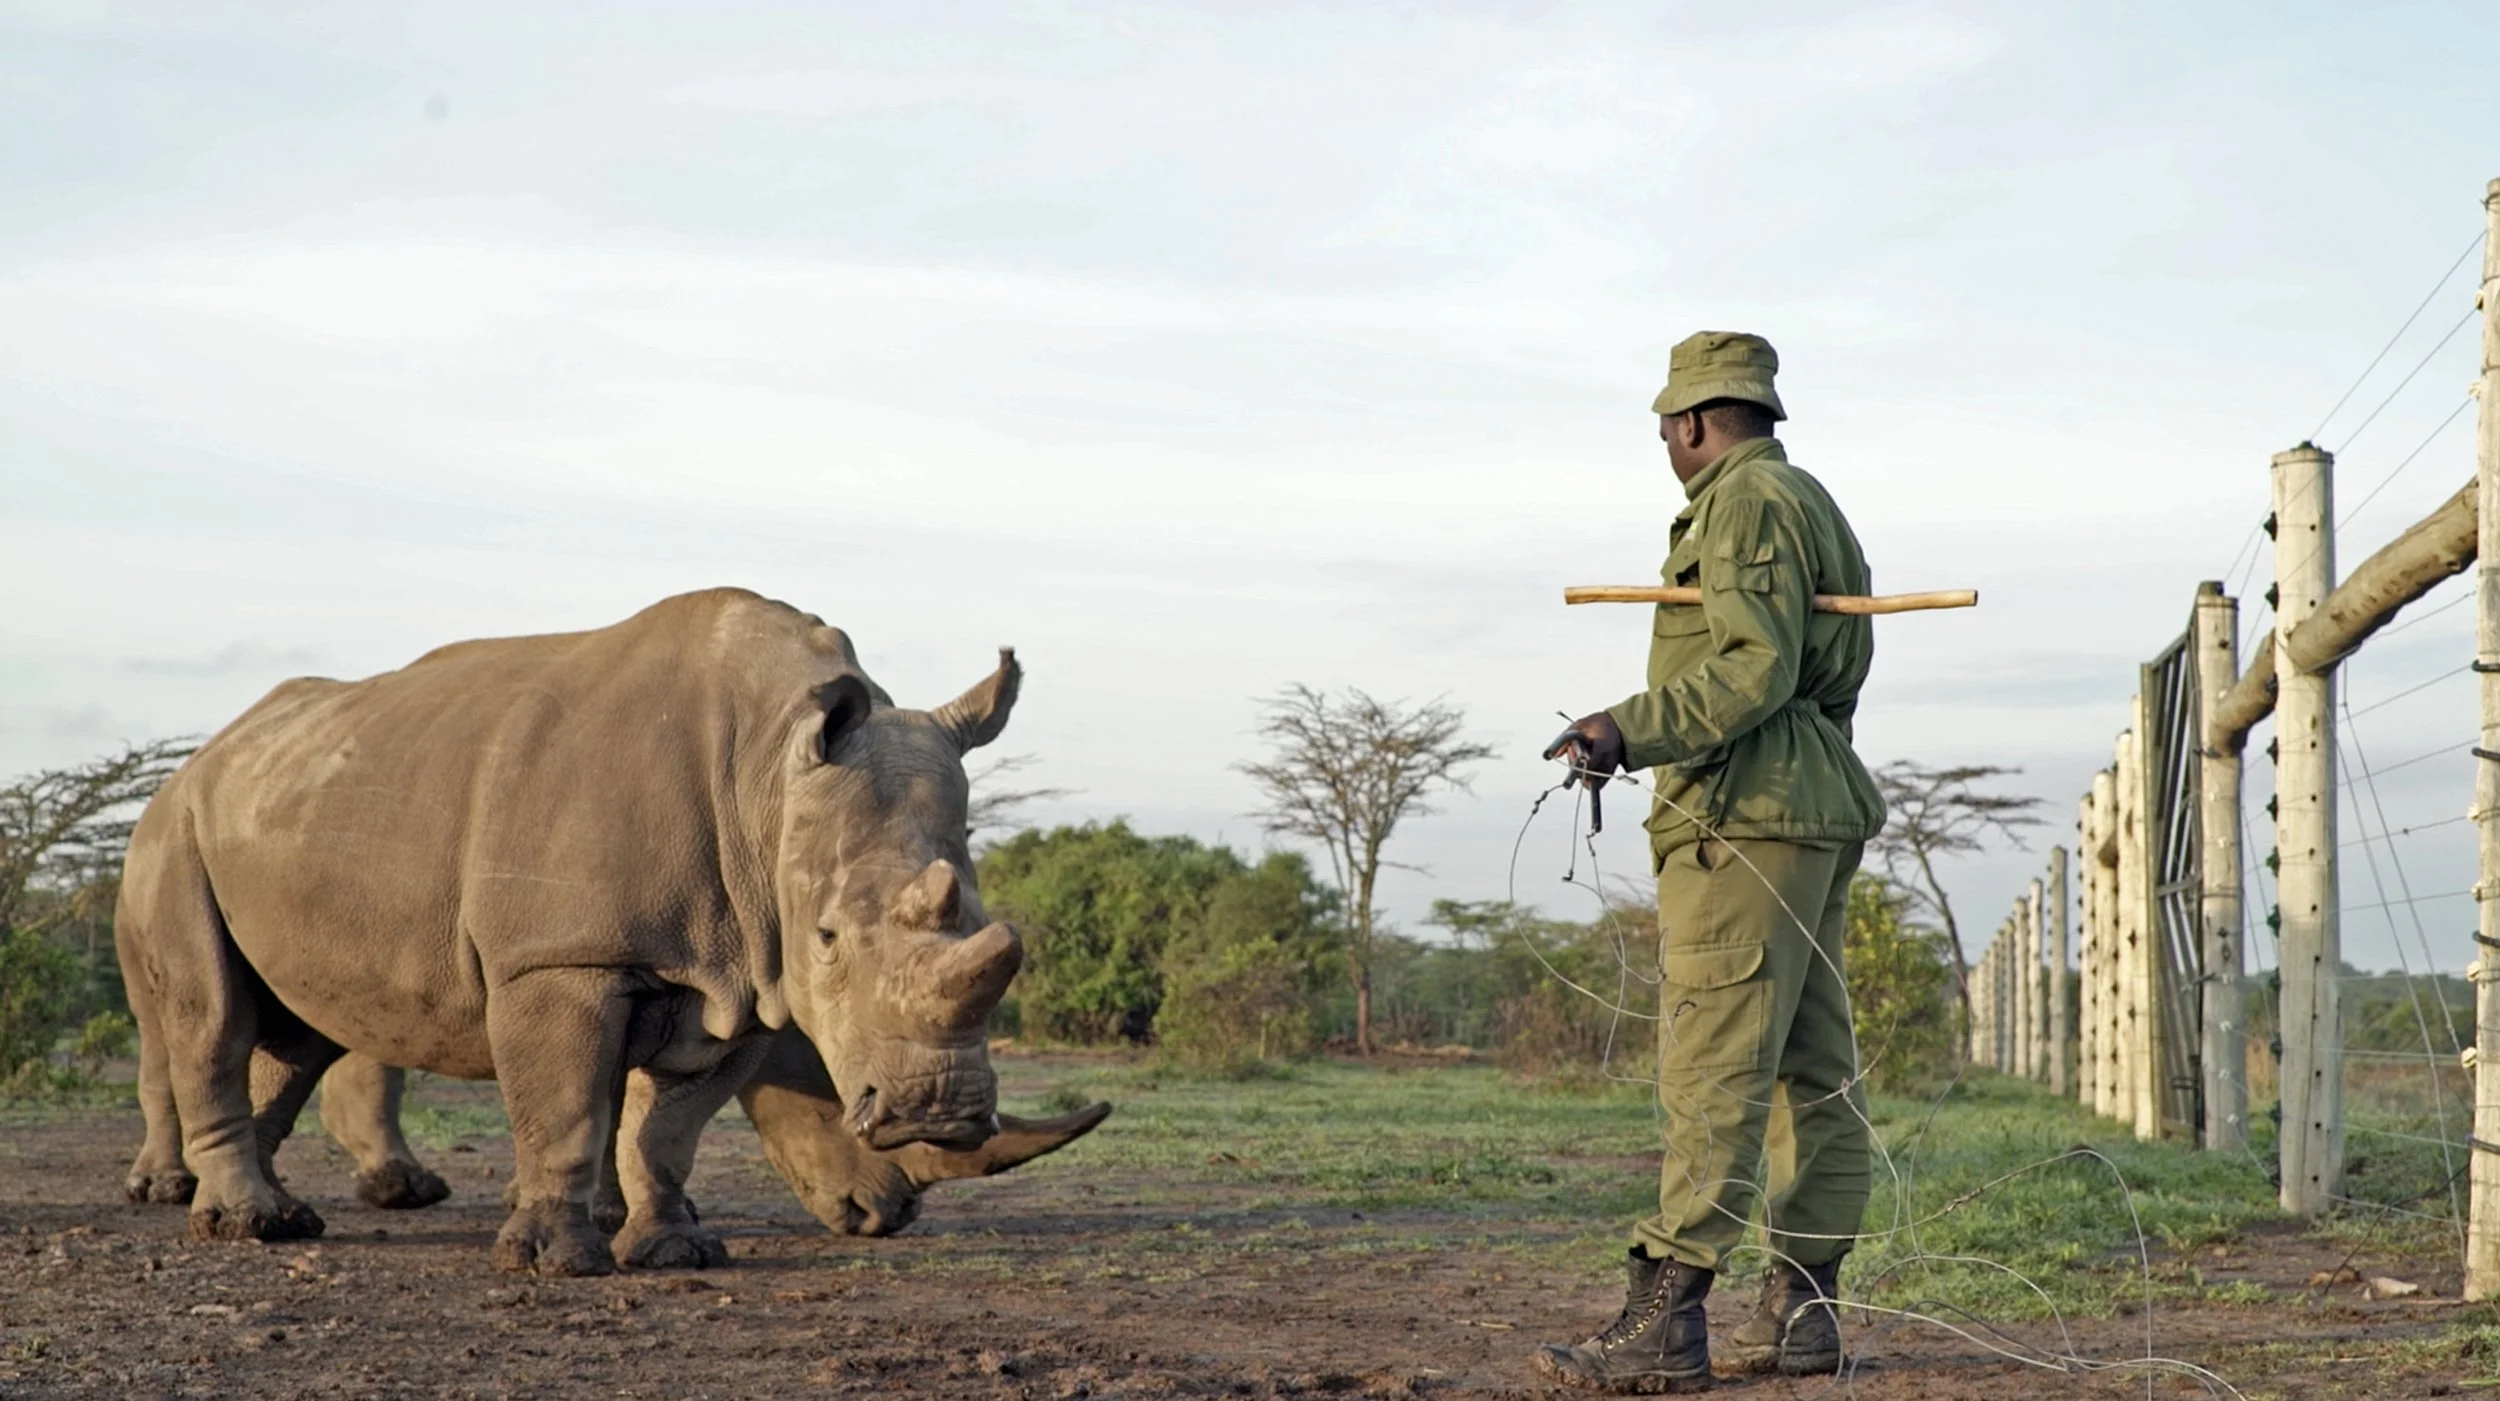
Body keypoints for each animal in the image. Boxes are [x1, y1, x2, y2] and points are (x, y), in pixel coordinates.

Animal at [117, 588, 1032, 1274]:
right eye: (830, 938)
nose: (941, 1109)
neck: (767, 779)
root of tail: (207, 754)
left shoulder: (738, 973)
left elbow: (663, 1128)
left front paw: (674, 1250)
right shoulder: (559, 958)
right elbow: (567, 1109)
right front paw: (555, 1260)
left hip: (293, 805)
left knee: (296, 1033)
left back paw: (280, 1215)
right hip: (170, 836)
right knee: (210, 1017)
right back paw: (245, 1224)